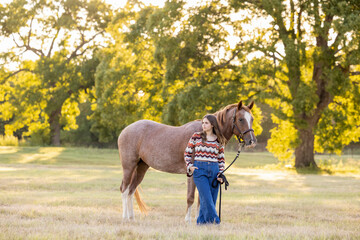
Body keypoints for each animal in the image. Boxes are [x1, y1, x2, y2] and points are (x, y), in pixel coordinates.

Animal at [118, 100, 256, 220]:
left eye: (252, 119)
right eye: (241, 119)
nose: (252, 141)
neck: (205, 133)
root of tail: (125, 130)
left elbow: (202, 197)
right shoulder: (192, 172)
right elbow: (191, 197)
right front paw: (188, 220)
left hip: (141, 167)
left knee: (131, 191)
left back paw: (131, 217)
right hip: (129, 166)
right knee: (124, 189)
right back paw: (125, 217)